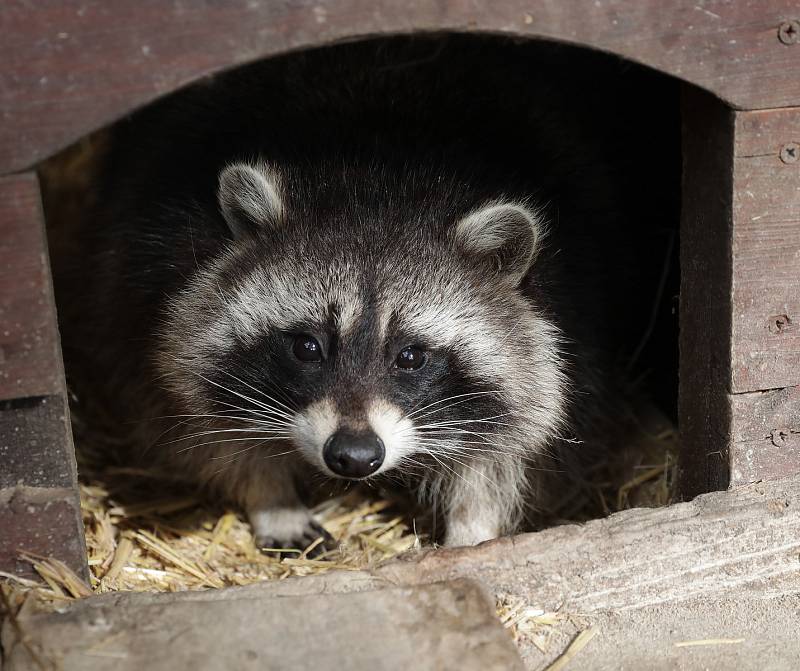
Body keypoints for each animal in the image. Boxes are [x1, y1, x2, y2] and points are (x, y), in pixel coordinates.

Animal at [51, 35, 676, 552]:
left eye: (411, 355)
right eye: (306, 346)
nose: (352, 457)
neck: (380, 181)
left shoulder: (575, 309)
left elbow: (517, 441)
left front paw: (473, 525)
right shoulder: (143, 280)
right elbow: (193, 414)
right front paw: (269, 493)